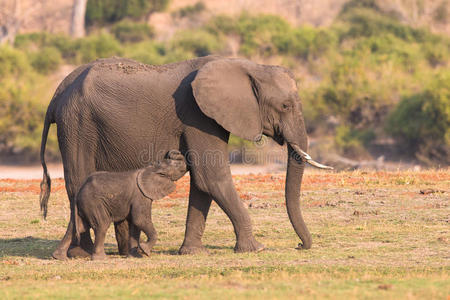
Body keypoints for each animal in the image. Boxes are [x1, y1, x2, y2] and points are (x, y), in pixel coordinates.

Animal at [39, 55, 330, 258]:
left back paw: (126, 252)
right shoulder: (198, 116)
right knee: (77, 182)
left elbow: (202, 183)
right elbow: (211, 177)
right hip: (77, 124)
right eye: (285, 106)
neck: (249, 65)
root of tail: (57, 94)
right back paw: (83, 253)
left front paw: (192, 252)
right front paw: (256, 248)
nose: (300, 246)